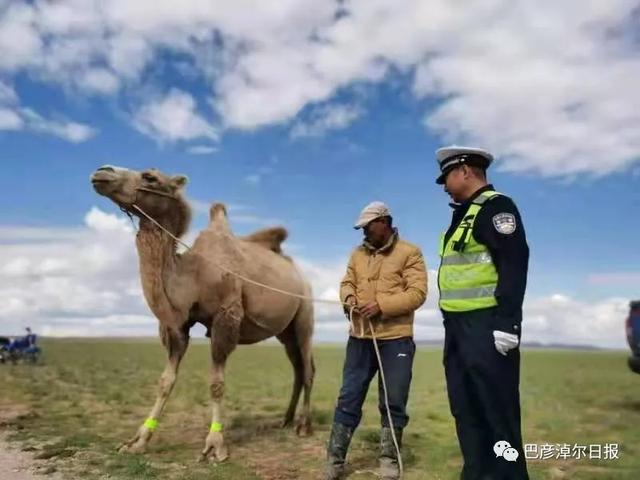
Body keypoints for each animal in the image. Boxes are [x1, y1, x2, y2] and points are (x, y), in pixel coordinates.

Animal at [91, 165, 316, 462]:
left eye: (150, 177)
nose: (102, 171)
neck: (193, 274)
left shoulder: (225, 318)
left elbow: (216, 384)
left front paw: (214, 446)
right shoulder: (178, 325)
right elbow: (165, 381)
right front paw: (138, 441)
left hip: (304, 315)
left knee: (308, 367)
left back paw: (303, 426)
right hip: (284, 332)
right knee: (297, 368)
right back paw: (286, 419)